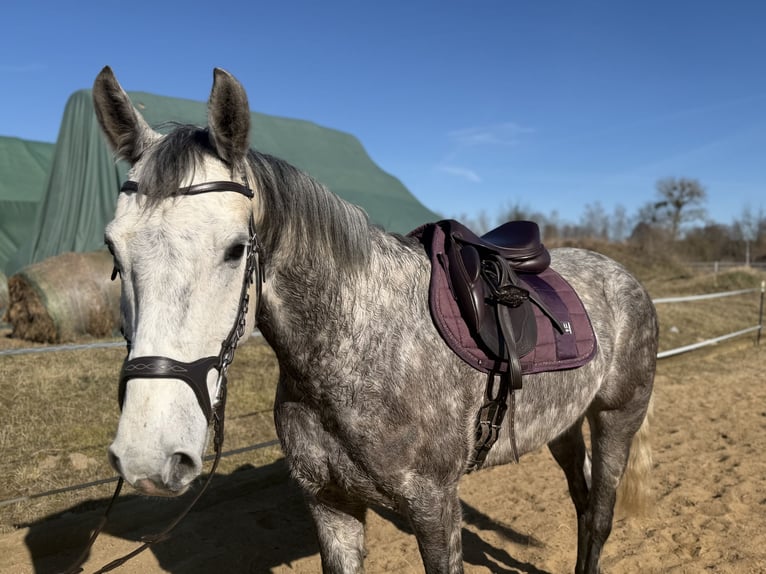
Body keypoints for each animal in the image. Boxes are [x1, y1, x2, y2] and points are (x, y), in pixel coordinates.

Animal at [93, 66, 657, 574]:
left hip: (616, 420)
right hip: (564, 424)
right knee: (581, 503)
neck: (356, 348)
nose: (148, 457)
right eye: (113, 249)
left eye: (234, 249)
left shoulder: (435, 508)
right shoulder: (329, 502)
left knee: (599, 515)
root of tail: (623, 277)